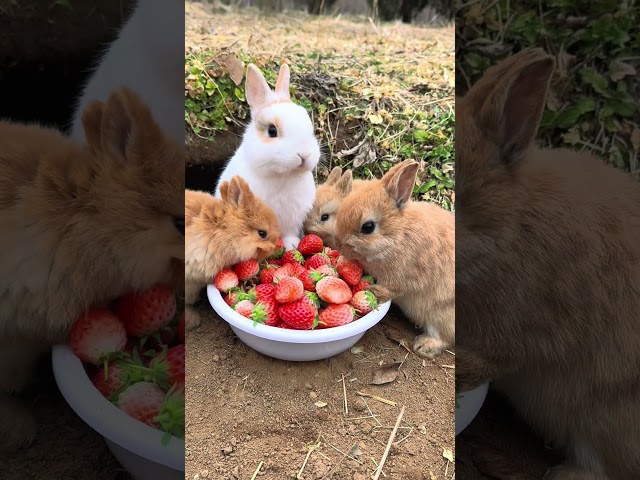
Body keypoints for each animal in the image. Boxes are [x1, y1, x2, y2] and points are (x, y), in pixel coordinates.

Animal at [216, 63, 320, 249]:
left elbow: (289, 235)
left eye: (309, 126)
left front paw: (292, 247)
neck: (282, 176)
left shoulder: (292, 221)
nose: (304, 154)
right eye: (272, 131)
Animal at [336, 159, 456, 358]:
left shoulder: (403, 277)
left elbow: (394, 289)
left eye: (368, 227)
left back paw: (424, 346)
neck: (398, 234)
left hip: (441, 315)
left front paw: (373, 291)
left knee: (445, 337)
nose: (338, 244)